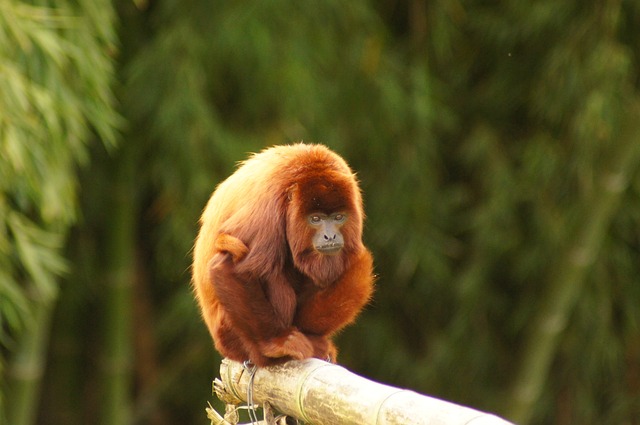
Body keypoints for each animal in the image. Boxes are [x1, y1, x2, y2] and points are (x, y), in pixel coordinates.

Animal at [192, 144, 378, 366]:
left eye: (338, 217)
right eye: (315, 219)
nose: (330, 235)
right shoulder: (267, 210)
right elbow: (228, 266)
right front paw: (276, 343)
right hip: (230, 335)